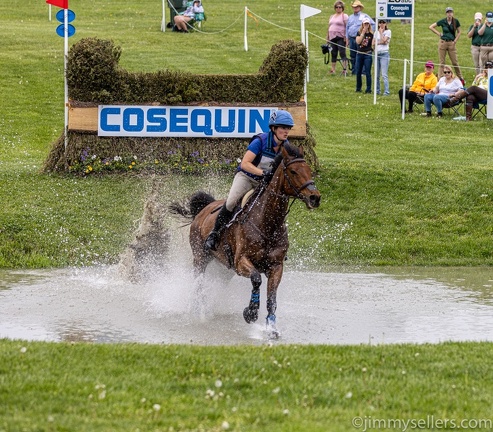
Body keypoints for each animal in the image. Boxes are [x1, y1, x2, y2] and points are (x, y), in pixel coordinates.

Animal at [171, 143, 320, 338]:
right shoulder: (242, 261)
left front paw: (271, 328)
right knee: (198, 281)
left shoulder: (276, 266)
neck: (268, 222)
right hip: (200, 257)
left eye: (309, 170)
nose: (315, 197)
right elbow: (256, 279)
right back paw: (198, 311)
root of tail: (204, 209)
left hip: (225, 269)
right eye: (293, 171)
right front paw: (251, 313)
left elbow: (272, 299)